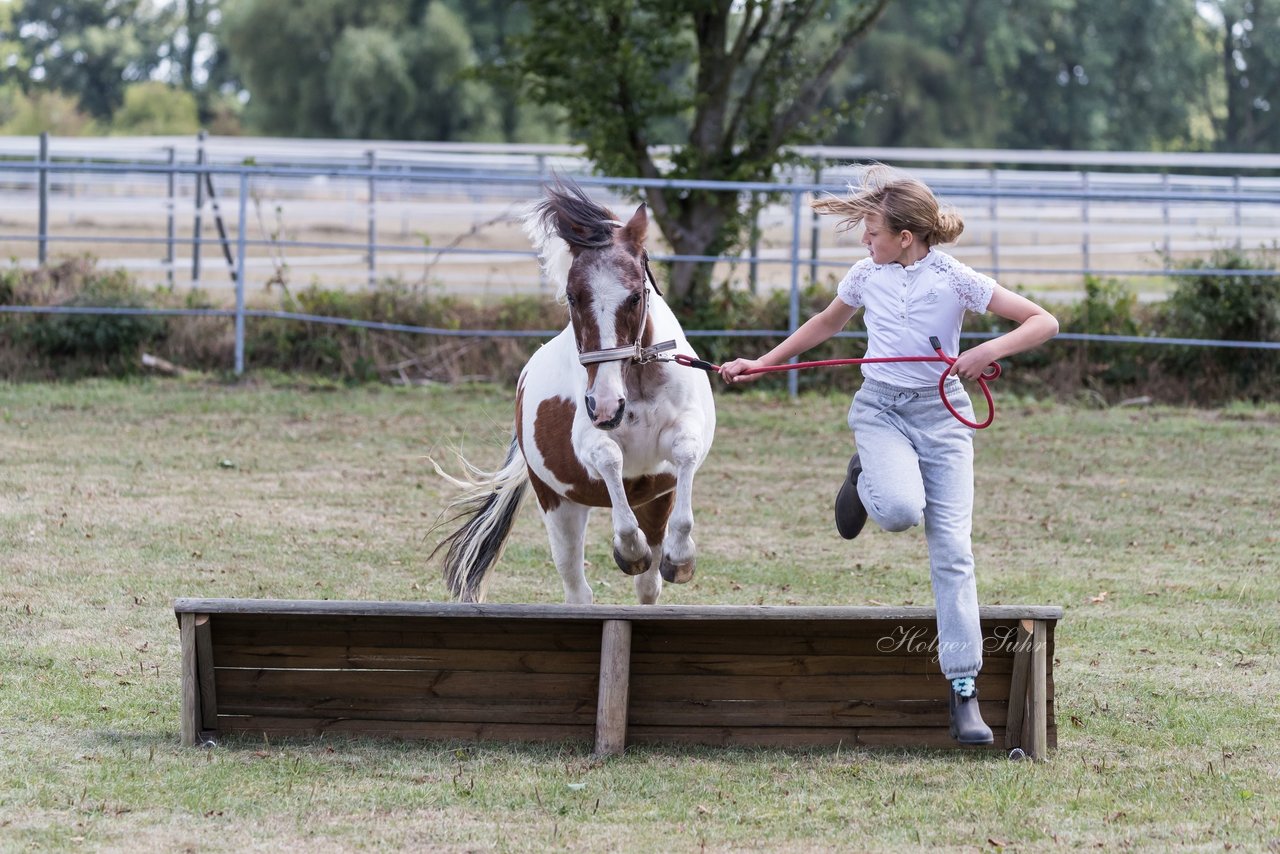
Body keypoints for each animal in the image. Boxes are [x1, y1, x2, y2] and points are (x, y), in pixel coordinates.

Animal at [427, 181, 711, 606]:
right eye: (573, 297)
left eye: (635, 296)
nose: (607, 405)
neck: (635, 384)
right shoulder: (588, 441)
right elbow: (610, 458)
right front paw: (629, 549)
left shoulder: (680, 442)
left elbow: (686, 453)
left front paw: (681, 557)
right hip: (559, 505)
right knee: (578, 589)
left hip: (655, 500)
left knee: (648, 585)